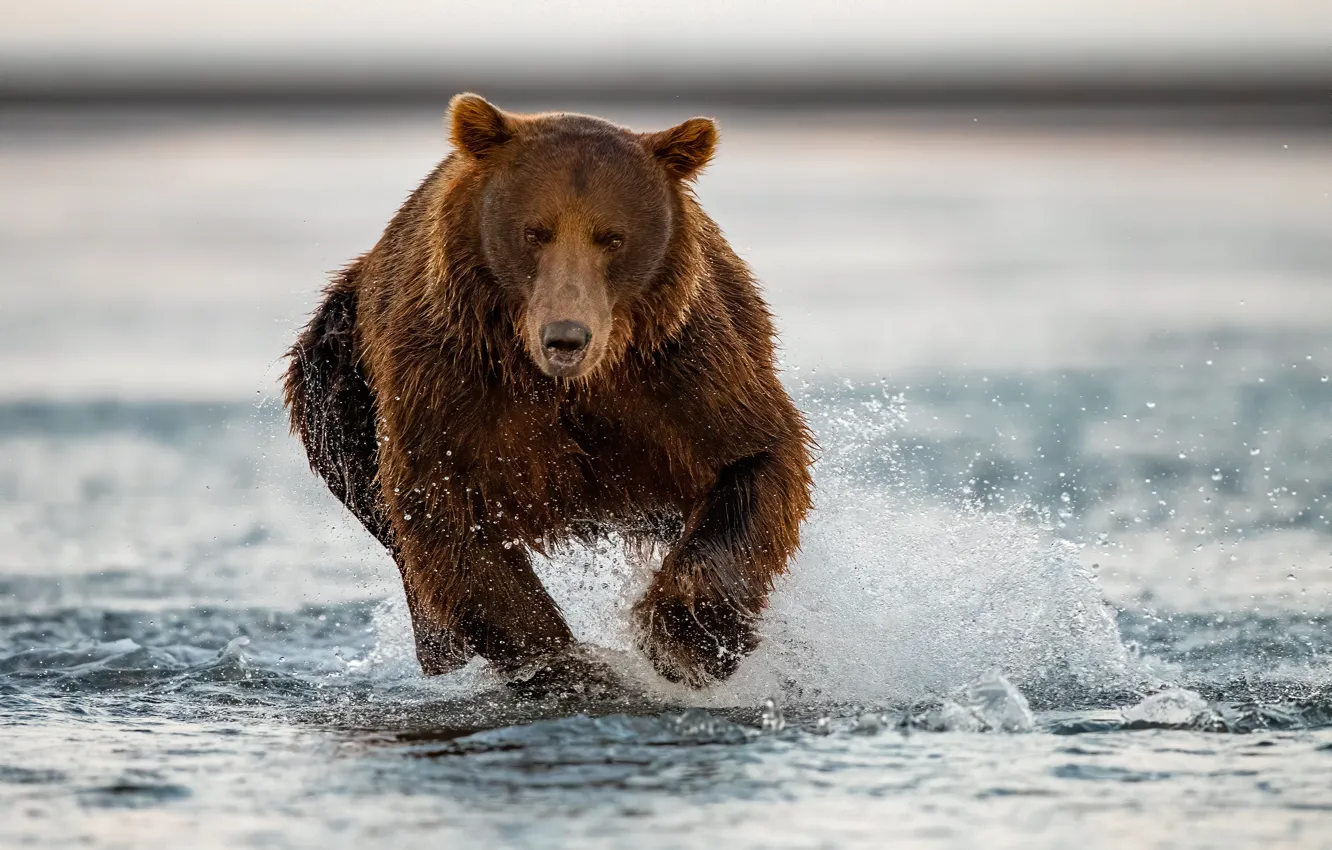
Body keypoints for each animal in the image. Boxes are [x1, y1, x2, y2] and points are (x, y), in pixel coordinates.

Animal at [283, 94, 809, 692]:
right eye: (534, 232)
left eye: (613, 237)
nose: (566, 337)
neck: (566, 384)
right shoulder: (450, 382)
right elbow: (446, 516)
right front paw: (568, 664)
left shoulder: (678, 373)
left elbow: (754, 461)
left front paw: (689, 638)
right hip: (340, 370)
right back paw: (441, 649)